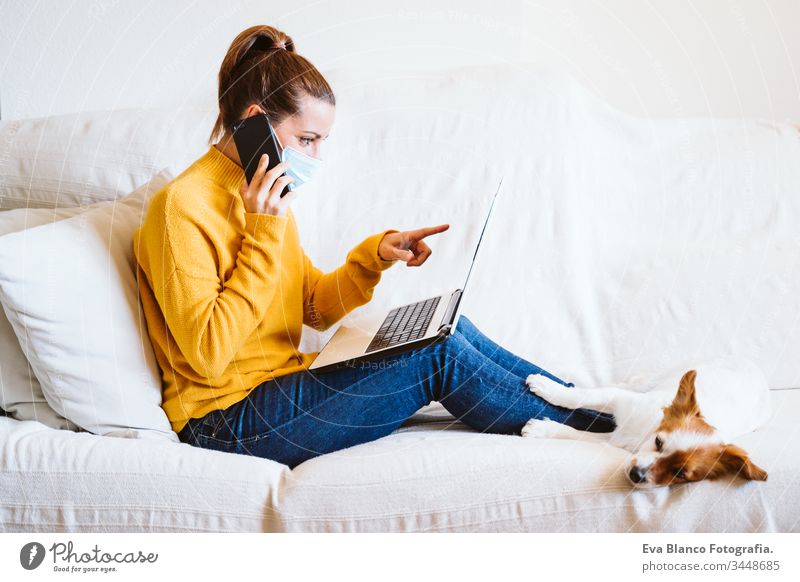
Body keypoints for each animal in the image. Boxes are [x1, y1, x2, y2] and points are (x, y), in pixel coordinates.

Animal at [520, 356, 772, 488]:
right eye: (659, 442)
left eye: (679, 473)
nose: (636, 476)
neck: (643, 433)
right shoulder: (619, 400)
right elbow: (581, 397)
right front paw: (548, 387)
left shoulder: (615, 439)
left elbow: (578, 434)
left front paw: (543, 429)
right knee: (626, 384)